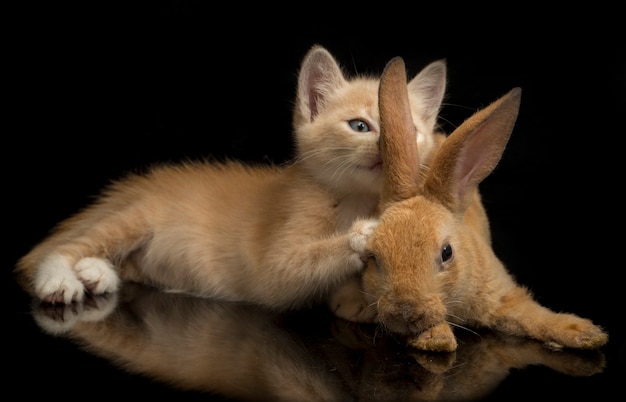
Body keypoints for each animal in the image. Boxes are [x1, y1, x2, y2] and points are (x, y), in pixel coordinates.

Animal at [358, 56, 608, 352]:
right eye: (373, 257)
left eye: (447, 253)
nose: (405, 311)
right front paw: (437, 339)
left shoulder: (504, 295)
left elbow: (533, 316)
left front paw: (584, 332)